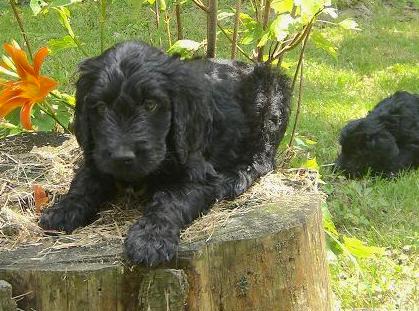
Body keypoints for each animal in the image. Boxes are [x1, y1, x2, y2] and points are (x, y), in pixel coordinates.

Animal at [41, 41, 294, 266]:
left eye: (151, 105)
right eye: (101, 107)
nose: (122, 157)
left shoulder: (198, 174)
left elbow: (169, 200)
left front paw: (150, 239)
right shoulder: (97, 157)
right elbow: (83, 183)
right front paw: (62, 210)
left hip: (271, 97)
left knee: (263, 159)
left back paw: (235, 178)